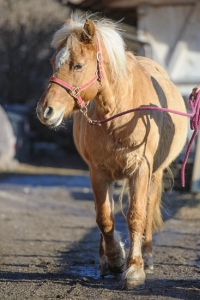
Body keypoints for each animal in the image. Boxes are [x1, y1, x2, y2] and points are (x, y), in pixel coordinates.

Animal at [36, 15, 188, 290]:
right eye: (53, 63)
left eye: (77, 66)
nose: (45, 110)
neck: (121, 115)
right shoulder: (98, 172)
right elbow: (104, 218)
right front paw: (116, 259)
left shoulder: (141, 170)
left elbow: (137, 215)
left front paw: (135, 268)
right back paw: (105, 260)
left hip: (155, 175)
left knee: (148, 207)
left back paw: (147, 256)